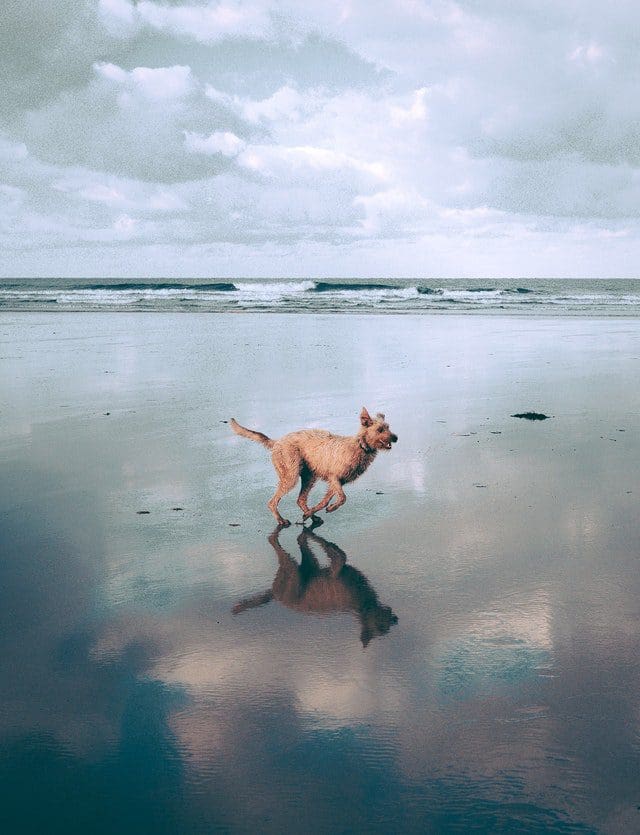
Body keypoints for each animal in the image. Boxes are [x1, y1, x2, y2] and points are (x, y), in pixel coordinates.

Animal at [230, 408, 398, 524]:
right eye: (380, 430)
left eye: (388, 427)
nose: (395, 437)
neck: (360, 446)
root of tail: (276, 442)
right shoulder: (334, 478)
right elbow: (342, 498)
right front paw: (330, 508)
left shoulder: (336, 482)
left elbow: (325, 501)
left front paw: (311, 513)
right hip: (290, 477)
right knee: (272, 502)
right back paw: (280, 520)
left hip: (309, 477)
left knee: (300, 500)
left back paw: (311, 516)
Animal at [232, 524, 398, 648]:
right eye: (381, 627)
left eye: (387, 628)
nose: (394, 619)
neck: (363, 604)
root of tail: (275, 594)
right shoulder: (337, 567)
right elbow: (334, 549)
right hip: (293, 574)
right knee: (276, 542)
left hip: (308, 565)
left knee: (301, 542)